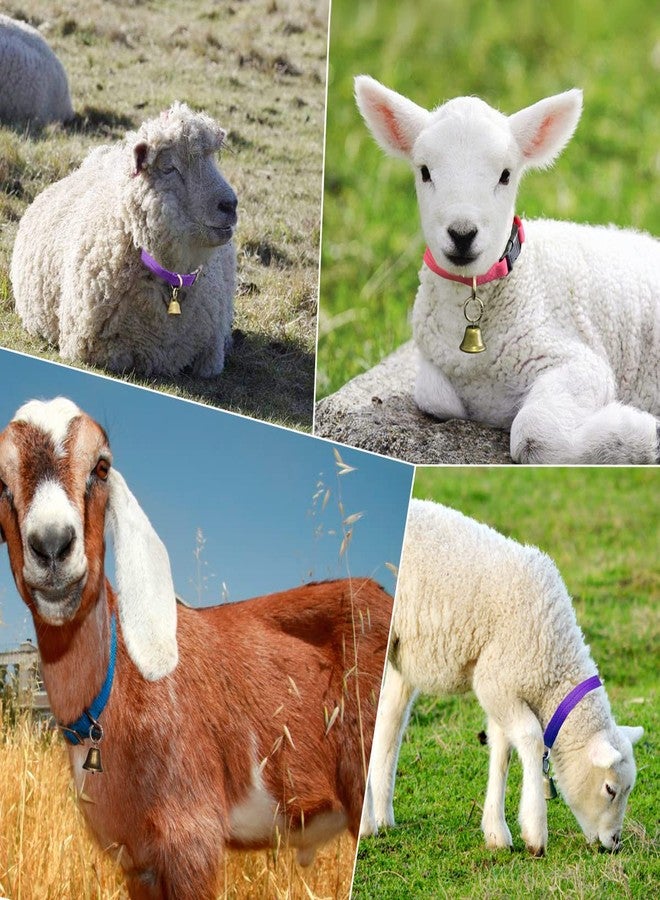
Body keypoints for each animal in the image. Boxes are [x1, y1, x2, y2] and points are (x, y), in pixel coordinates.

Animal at [0, 397, 392, 899]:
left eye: (101, 466)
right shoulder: (138, 861)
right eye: (0, 481)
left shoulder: (193, 839)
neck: (115, 689)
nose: (52, 546)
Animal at [354, 76, 660, 464]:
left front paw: (642, 435)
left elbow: (534, 434)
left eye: (505, 175)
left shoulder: (575, 361)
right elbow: (434, 395)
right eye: (424, 172)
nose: (462, 233)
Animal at [361, 498, 643, 856]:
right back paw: (367, 823)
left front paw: (496, 832)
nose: (615, 843)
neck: (554, 671)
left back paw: (382, 817)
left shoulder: (502, 686)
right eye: (610, 789)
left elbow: (502, 750)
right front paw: (535, 832)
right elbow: (531, 738)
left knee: (390, 721)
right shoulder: (496, 681)